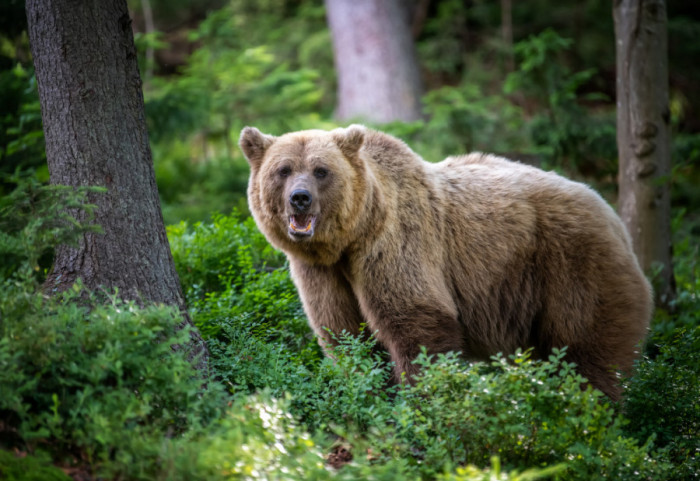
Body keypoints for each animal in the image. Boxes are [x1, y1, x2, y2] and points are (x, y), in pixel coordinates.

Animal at [239, 124, 652, 398]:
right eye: (284, 170)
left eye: (321, 170)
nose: (300, 198)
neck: (349, 239)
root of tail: (611, 214)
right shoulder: (321, 272)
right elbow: (344, 334)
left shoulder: (395, 245)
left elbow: (417, 325)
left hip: (572, 265)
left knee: (587, 349)